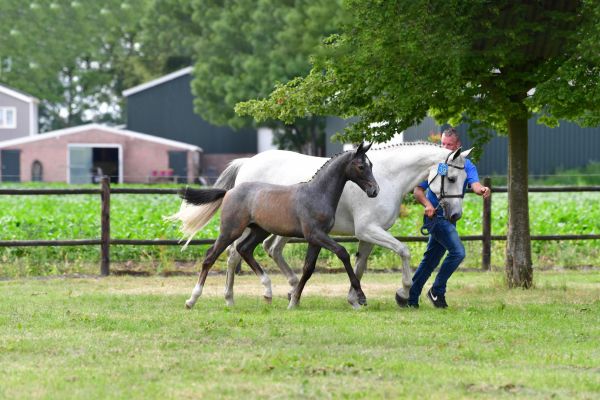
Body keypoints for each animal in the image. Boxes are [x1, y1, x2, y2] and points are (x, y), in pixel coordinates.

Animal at [171, 142, 472, 308]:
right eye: (452, 178)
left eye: (466, 180)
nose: (455, 215)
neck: (389, 177)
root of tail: (247, 163)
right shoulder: (368, 230)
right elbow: (403, 251)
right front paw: (404, 290)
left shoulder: (369, 235)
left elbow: (359, 264)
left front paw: (355, 297)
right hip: (244, 227)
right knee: (234, 255)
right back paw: (231, 297)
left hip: (272, 229)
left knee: (266, 250)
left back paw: (284, 288)